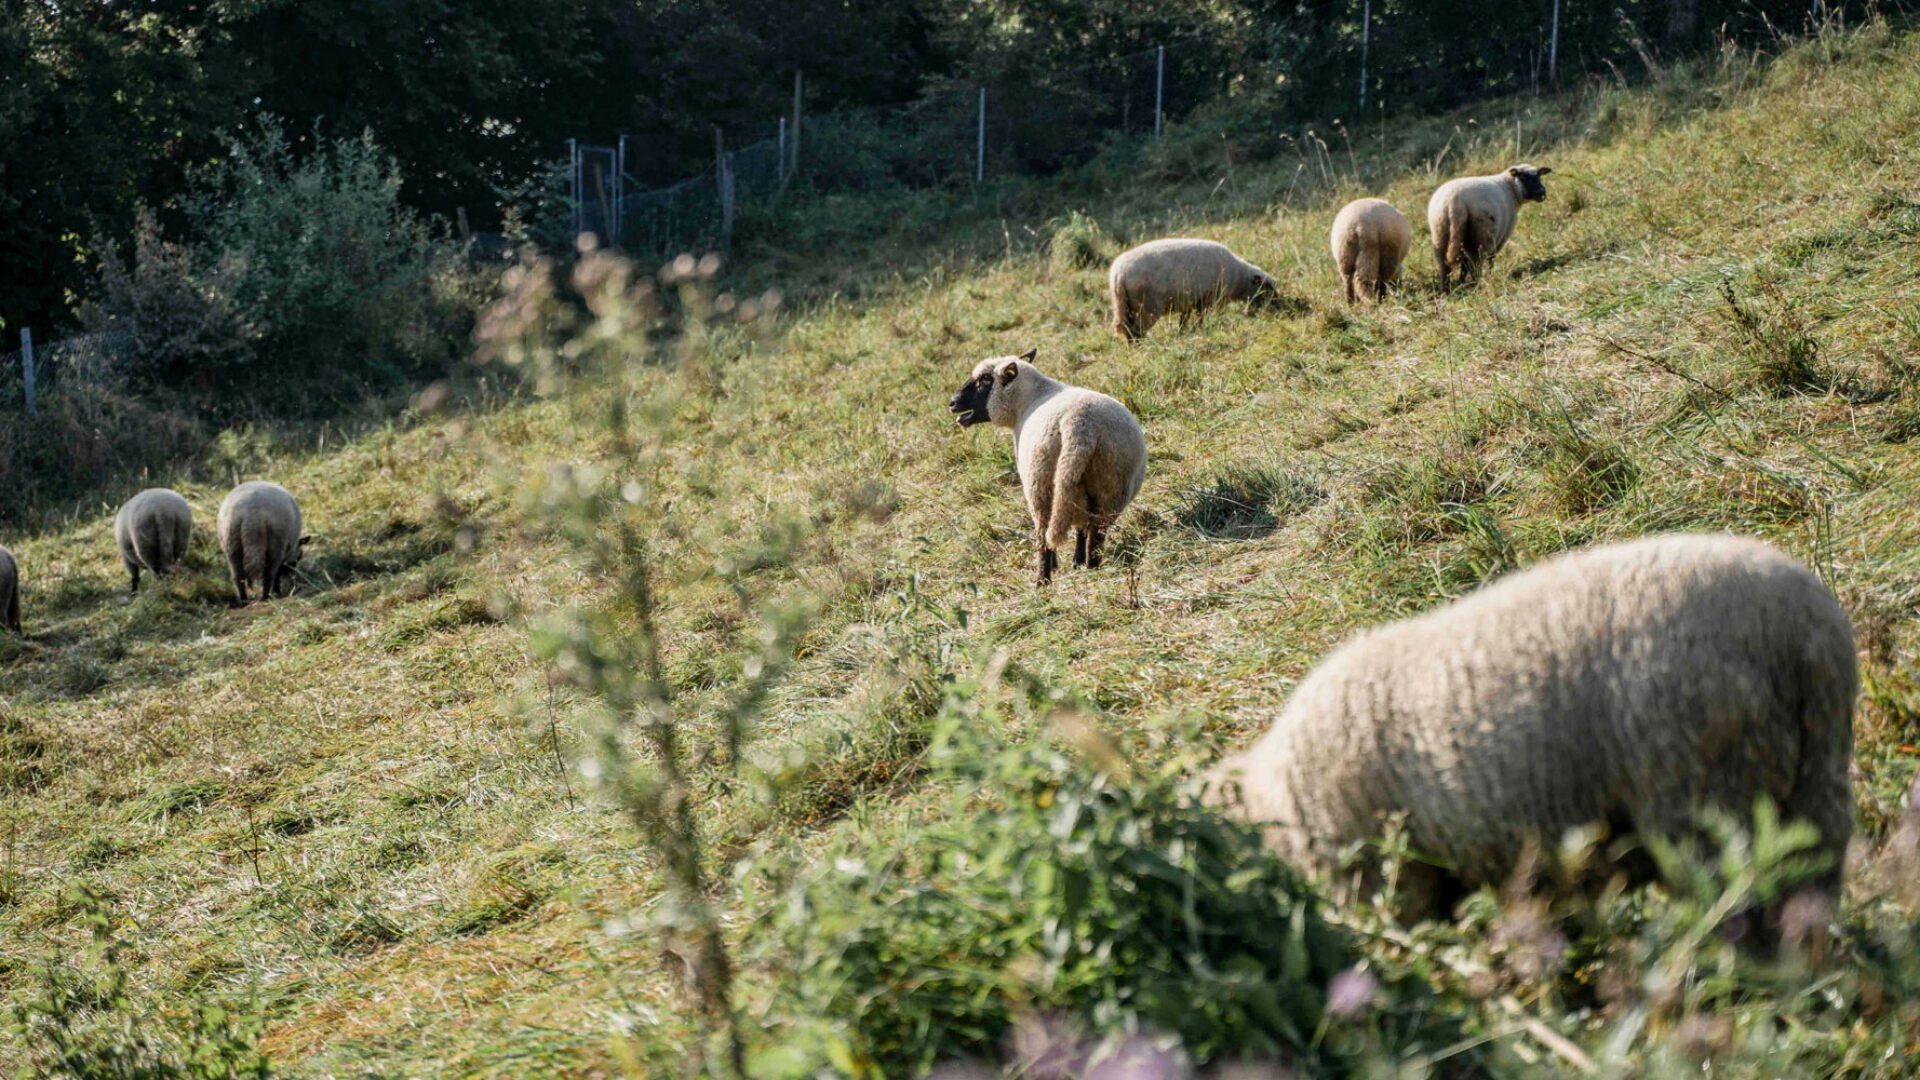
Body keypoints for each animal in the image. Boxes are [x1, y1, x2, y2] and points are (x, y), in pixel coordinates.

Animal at [948, 349, 1144, 584]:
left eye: (985, 379)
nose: (952, 403)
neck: (1027, 400)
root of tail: (1080, 425)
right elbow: (1081, 527)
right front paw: (1077, 561)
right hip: (1109, 487)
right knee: (1096, 535)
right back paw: (1091, 569)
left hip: (1040, 483)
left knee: (1043, 535)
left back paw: (1042, 581)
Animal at [1105, 237, 1282, 338]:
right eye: (1267, 288)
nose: (1280, 307)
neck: (1238, 278)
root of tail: (1118, 274)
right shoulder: (1206, 299)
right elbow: (1200, 318)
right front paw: (1199, 330)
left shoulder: (1189, 301)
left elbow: (1184, 320)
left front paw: (1183, 332)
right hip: (1149, 306)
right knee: (1137, 330)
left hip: (1124, 305)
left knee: (1127, 328)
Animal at [1420, 160, 1551, 290]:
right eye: (1523, 177)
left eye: (1539, 175)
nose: (1542, 192)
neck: (1511, 188)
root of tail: (1455, 203)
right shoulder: (1500, 237)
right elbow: (1491, 258)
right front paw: (1491, 274)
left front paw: (1462, 281)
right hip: (1481, 235)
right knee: (1475, 263)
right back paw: (1476, 283)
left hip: (1441, 233)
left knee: (1445, 266)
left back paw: (1447, 290)